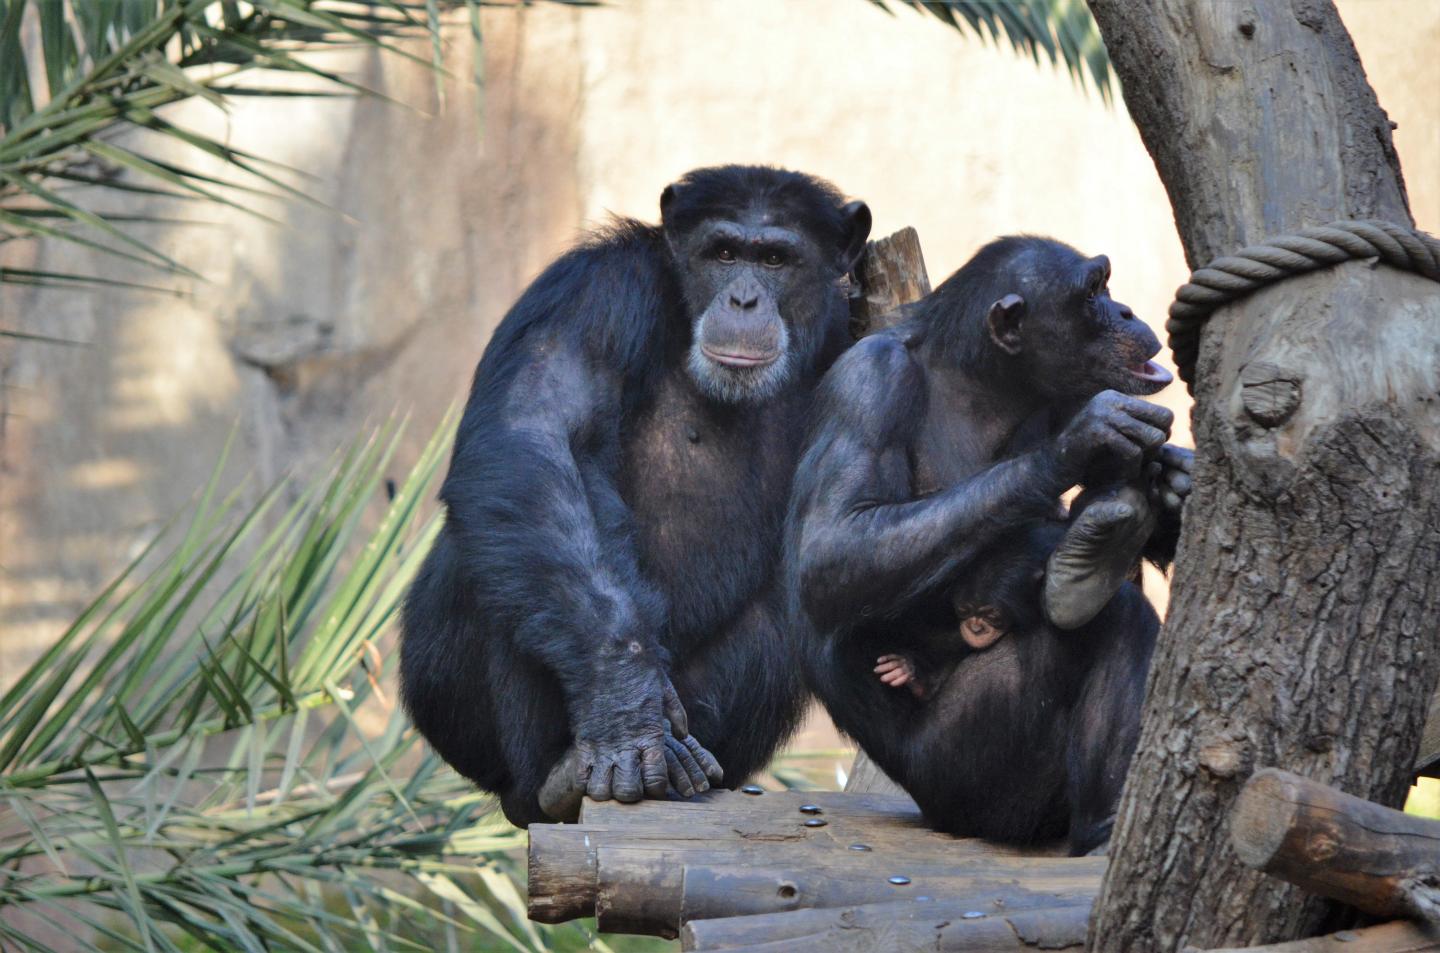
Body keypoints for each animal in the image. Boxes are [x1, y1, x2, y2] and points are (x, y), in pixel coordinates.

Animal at [397, 164, 864, 829]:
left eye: (776, 259)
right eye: (723, 253)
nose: (744, 299)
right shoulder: (596, 290)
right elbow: (534, 434)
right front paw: (623, 705)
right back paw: (559, 776)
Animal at [789, 234, 1192, 852]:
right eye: (1094, 291)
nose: (1125, 311)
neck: (982, 383)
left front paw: (1175, 480)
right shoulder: (867, 382)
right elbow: (834, 546)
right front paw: (1088, 440)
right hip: (974, 778)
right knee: (1110, 617)